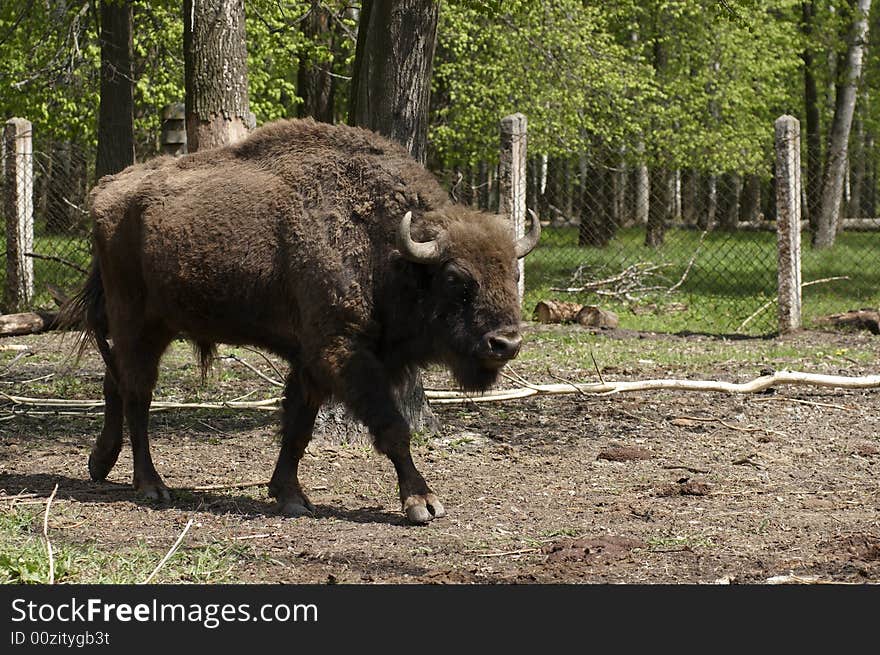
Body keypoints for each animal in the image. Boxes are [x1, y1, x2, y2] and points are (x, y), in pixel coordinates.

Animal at [62, 119, 540, 528]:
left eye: (513, 274)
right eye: (456, 279)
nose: (506, 343)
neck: (388, 250)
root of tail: (106, 191)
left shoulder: (311, 361)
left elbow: (298, 428)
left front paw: (290, 496)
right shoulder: (341, 351)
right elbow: (392, 427)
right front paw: (422, 502)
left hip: (152, 327)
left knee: (115, 381)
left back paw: (101, 462)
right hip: (137, 321)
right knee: (137, 395)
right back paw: (151, 486)